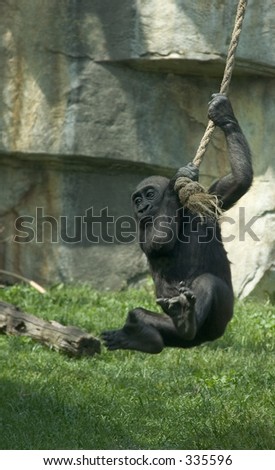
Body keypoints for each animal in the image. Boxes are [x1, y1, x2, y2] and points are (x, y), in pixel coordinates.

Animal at [102, 94, 254, 352]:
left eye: (149, 194)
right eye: (137, 199)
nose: (141, 206)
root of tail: (199, 341)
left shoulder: (214, 195)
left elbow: (239, 179)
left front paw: (224, 114)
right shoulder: (141, 228)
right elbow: (158, 241)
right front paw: (175, 185)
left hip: (219, 321)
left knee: (206, 284)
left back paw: (174, 322)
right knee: (151, 317)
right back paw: (152, 330)